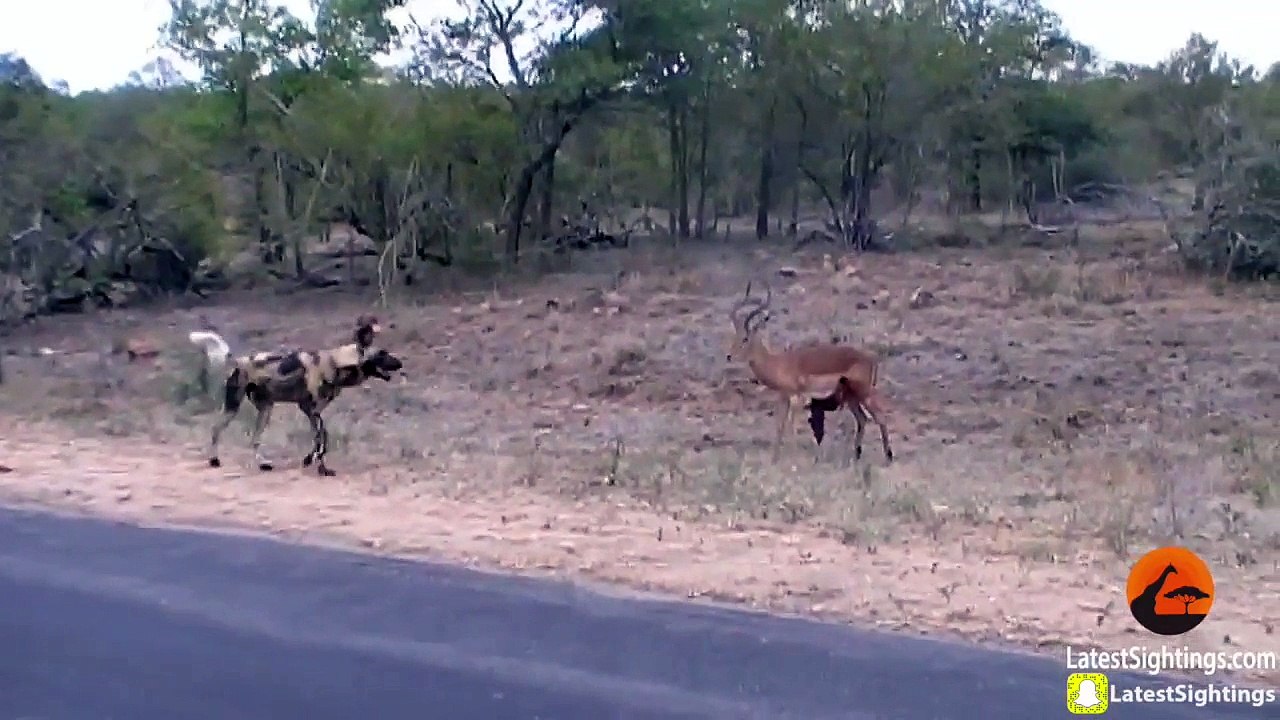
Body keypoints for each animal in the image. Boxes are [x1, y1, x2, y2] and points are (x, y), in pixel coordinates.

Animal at [726, 281, 894, 463]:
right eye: (734, 336)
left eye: (745, 338)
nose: (729, 356)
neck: (777, 363)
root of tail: (870, 359)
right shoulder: (783, 397)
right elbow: (779, 426)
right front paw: (774, 459)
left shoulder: (798, 397)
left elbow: (792, 426)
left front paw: (794, 460)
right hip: (852, 397)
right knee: (862, 419)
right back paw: (856, 456)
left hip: (863, 393)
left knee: (880, 416)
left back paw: (888, 457)